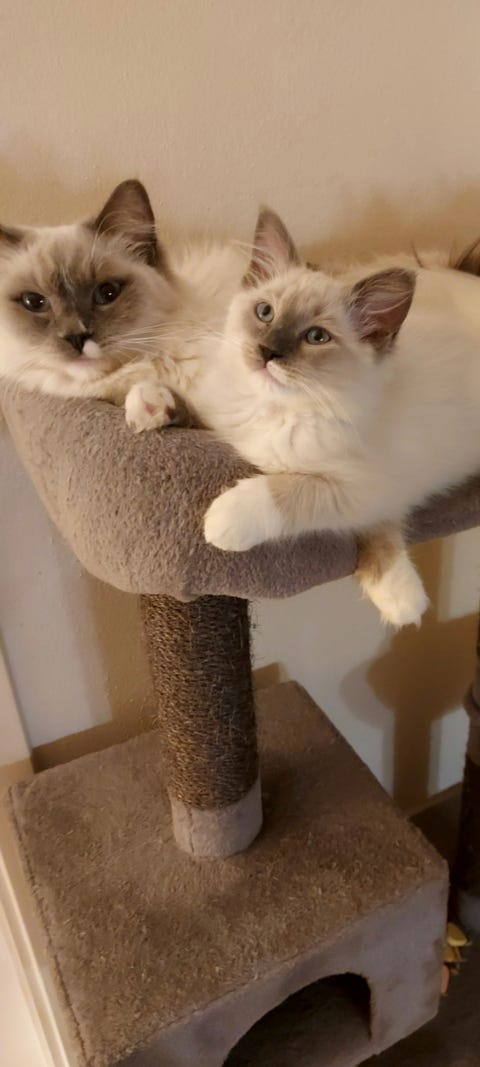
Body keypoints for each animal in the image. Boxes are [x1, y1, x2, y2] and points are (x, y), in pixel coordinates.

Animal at [190, 209, 480, 627]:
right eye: (265, 313)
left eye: (316, 337)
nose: (267, 352)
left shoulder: (361, 489)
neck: (275, 410)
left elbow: (284, 490)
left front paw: (221, 521)